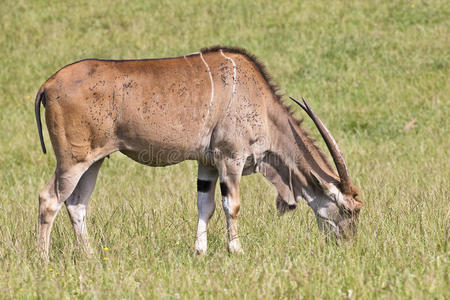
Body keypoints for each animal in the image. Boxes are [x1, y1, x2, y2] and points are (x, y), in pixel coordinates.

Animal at [37, 45, 364, 258]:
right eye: (349, 210)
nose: (348, 244)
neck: (259, 100)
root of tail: (49, 84)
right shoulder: (230, 159)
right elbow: (231, 206)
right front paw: (236, 249)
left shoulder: (207, 164)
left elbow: (204, 205)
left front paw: (200, 251)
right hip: (72, 161)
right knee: (49, 199)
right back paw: (43, 259)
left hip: (94, 161)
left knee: (77, 204)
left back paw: (90, 256)